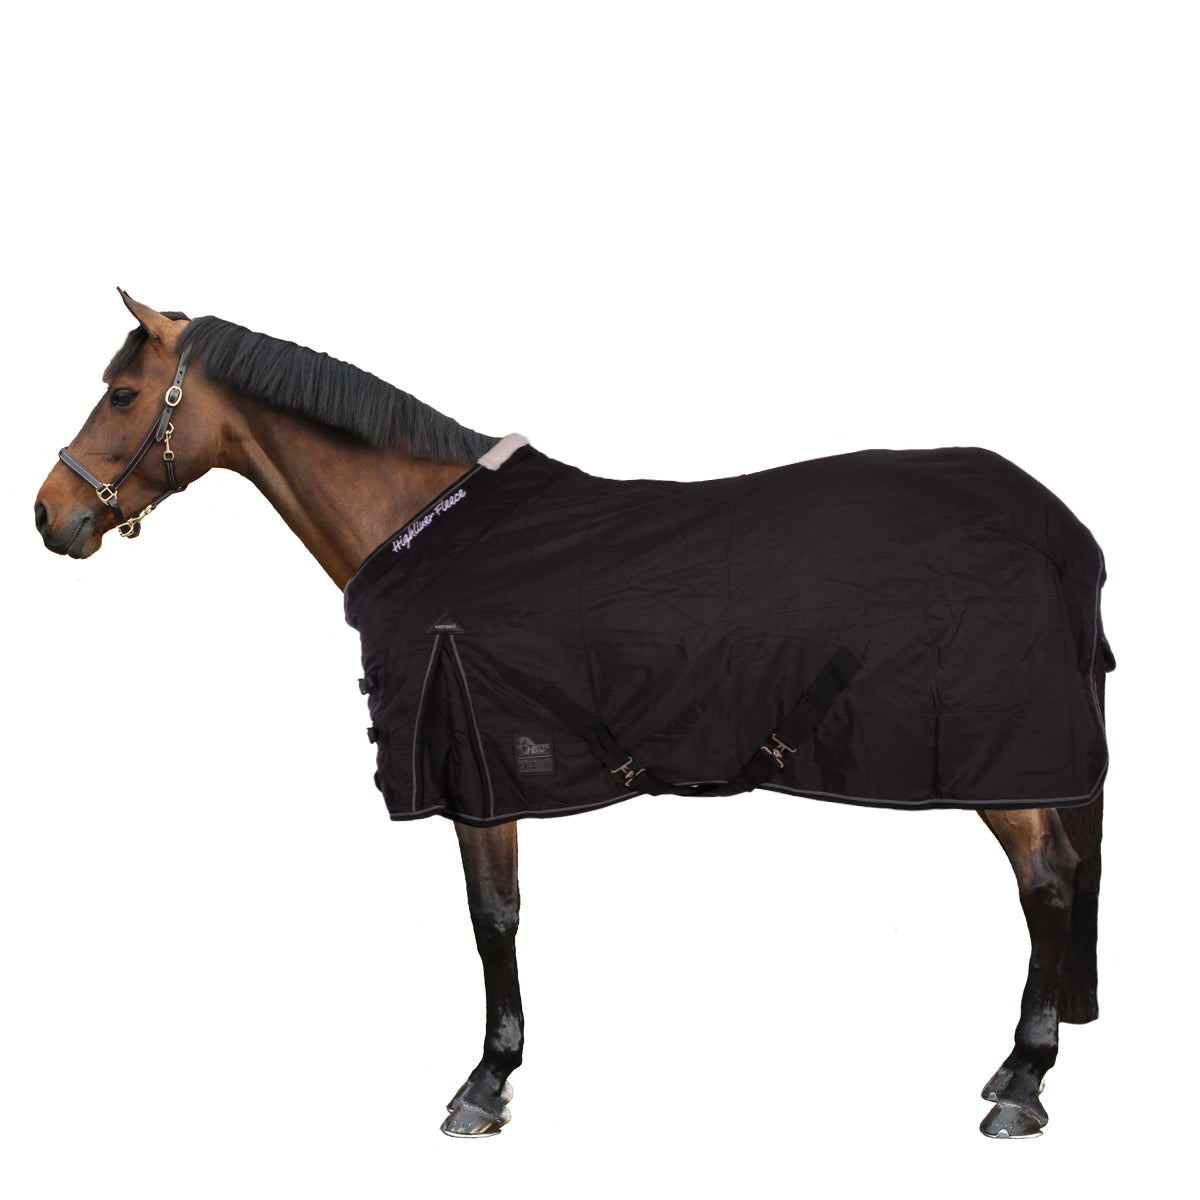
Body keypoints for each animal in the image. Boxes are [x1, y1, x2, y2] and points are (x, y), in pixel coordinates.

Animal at [35, 291, 1111, 1140]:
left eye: (123, 394)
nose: (50, 515)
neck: (426, 530)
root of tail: (1052, 521)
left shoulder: (476, 766)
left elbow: (493, 917)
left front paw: (485, 1083)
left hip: (999, 755)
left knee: (1048, 881)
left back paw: (1023, 1082)